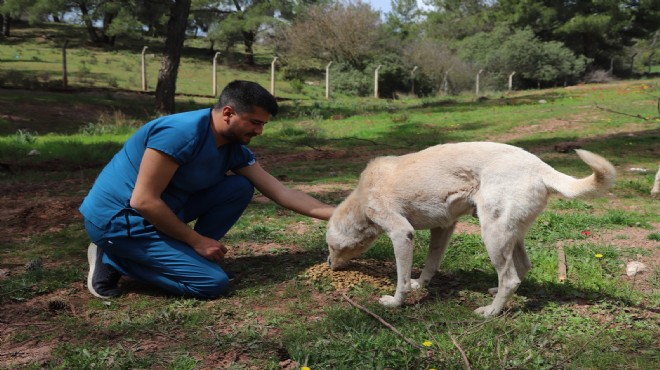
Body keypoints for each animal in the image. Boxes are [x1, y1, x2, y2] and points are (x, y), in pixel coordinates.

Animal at [328, 143, 616, 316]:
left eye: (330, 246)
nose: (329, 264)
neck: (362, 198)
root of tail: (541, 168)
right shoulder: (443, 228)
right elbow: (431, 264)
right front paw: (420, 284)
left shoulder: (402, 233)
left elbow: (401, 280)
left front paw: (396, 302)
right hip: (510, 233)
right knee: (521, 268)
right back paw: (496, 293)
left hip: (492, 234)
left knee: (510, 278)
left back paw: (491, 312)